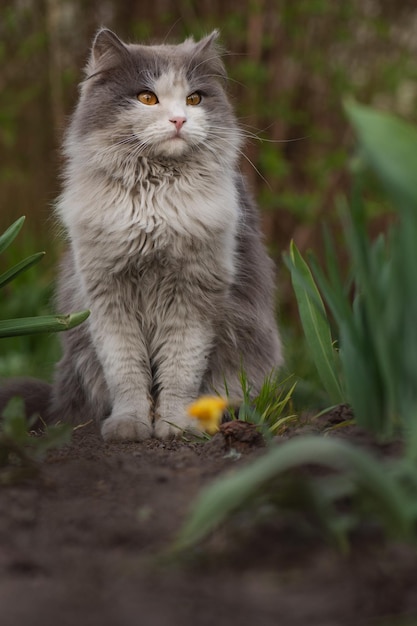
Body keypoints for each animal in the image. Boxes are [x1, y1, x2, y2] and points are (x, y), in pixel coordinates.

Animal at [0, 28, 282, 438]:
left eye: (194, 98)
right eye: (147, 98)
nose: (179, 120)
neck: (154, 199)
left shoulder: (193, 296)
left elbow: (180, 371)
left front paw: (175, 425)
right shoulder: (108, 295)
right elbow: (127, 372)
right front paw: (130, 425)